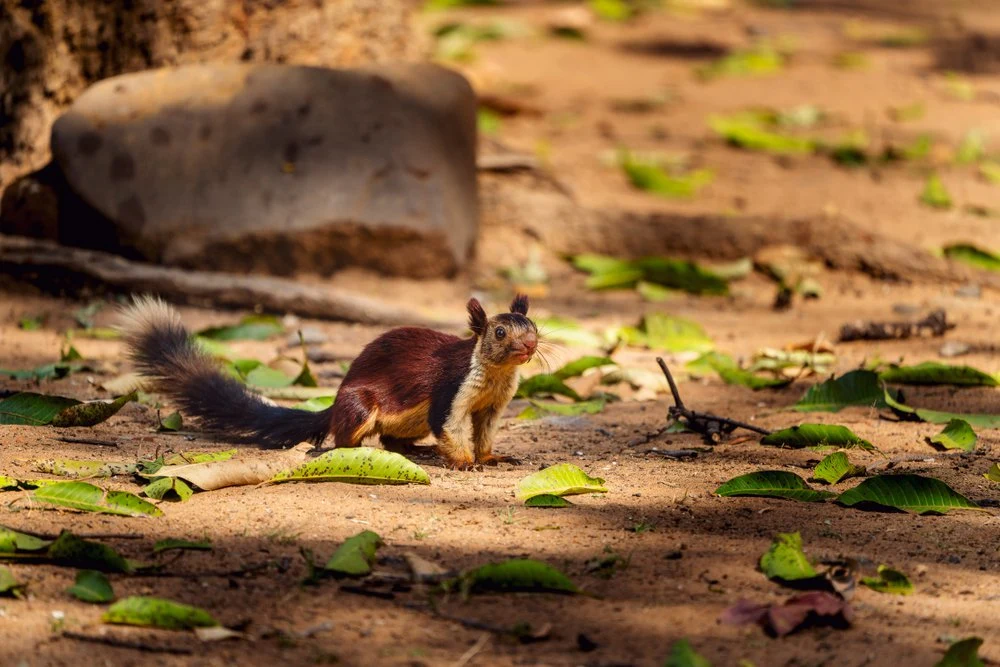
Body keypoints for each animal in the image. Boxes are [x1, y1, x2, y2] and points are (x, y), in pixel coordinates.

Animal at [119, 294, 539, 469]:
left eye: (534, 326)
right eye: (500, 332)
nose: (531, 345)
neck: (495, 375)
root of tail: (334, 403)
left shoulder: (493, 406)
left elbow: (484, 432)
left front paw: (491, 457)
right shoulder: (451, 390)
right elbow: (449, 427)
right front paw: (466, 463)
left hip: (406, 421)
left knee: (391, 439)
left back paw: (417, 451)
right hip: (360, 405)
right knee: (347, 437)